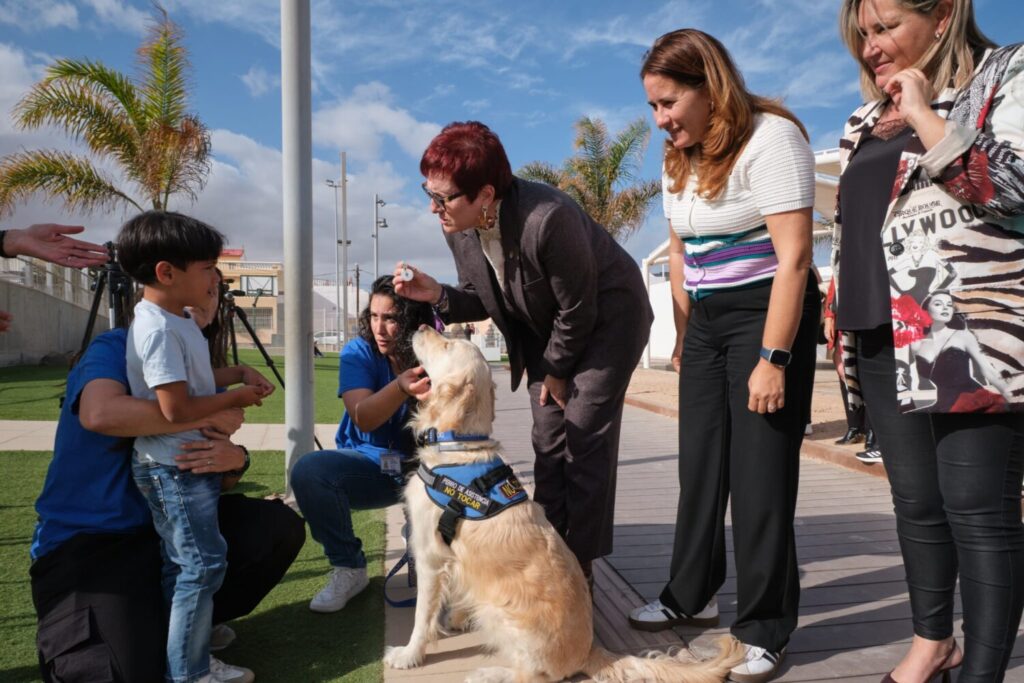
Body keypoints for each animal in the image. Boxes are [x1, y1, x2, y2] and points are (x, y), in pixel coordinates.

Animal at [385, 325, 745, 683]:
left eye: (447, 346)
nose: (422, 325)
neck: (457, 448)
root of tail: (589, 651)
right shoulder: (455, 560)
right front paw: (456, 618)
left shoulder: (429, 555)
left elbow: (422, 617)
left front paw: (409, 654)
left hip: (501, 612)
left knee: (533, 675)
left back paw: (489, 672)